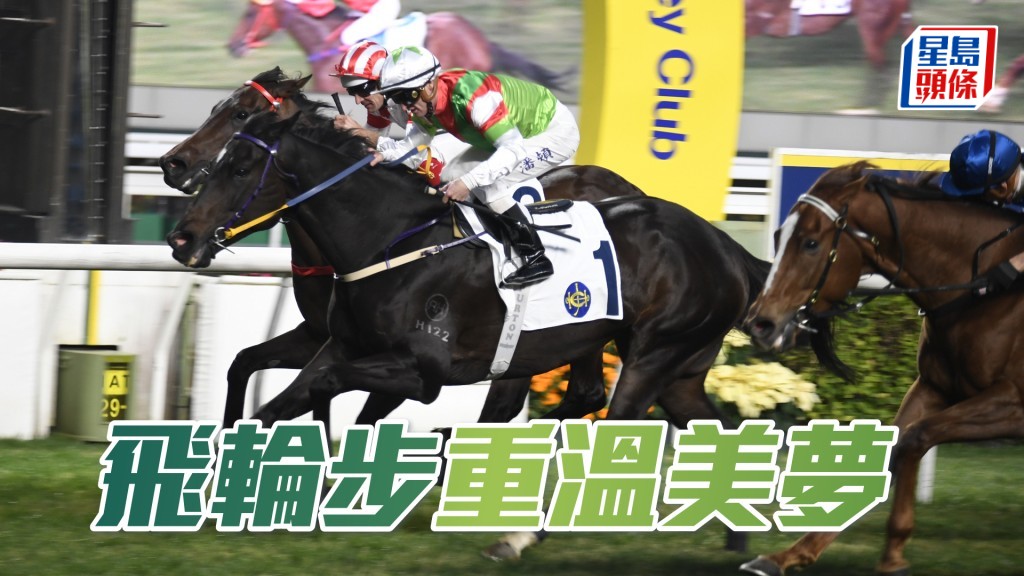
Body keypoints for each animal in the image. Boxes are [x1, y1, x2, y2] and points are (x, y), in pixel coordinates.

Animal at [160, 67, 639, 435]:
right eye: (216, 108)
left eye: (241, 113)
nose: (172, 164)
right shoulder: (320, 335)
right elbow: (245, 364)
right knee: (585, 392)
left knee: (515, 403)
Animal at [742, 161, 1024, 576]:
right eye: (778, 237)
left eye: (810, 243)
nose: (759, 324)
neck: (985, 286)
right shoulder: (933, 387)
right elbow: (891, 448)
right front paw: (788, 554)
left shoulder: (1013, 402)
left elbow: (915, 439)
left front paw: (893, 553)